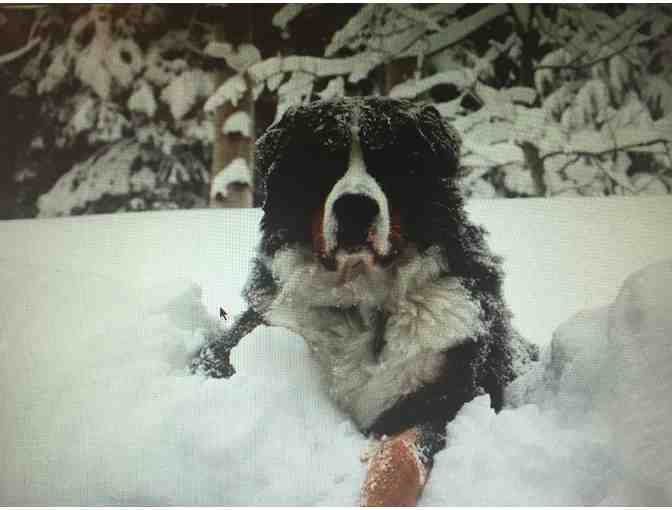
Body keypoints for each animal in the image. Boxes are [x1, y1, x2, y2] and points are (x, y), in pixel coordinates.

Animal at [192, 97, 538, 505]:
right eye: (323, 159)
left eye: (390, 160)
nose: (355, 207)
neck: (362, 301)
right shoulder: (249, 332)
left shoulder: (446, 393)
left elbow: (399, 456)